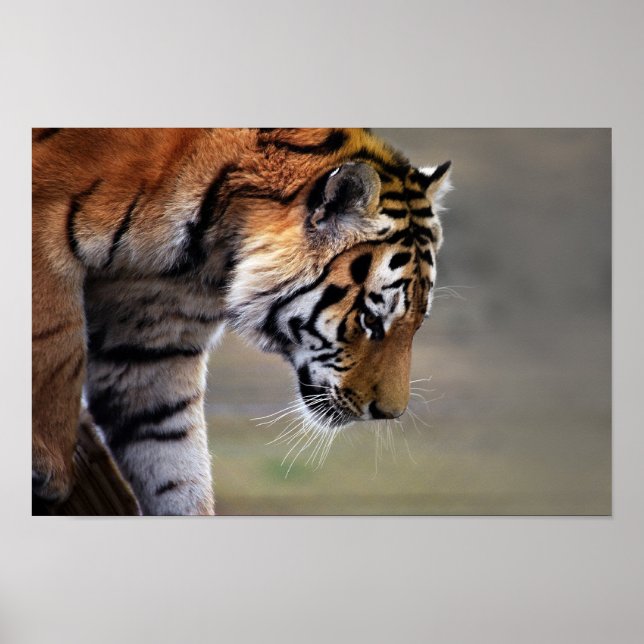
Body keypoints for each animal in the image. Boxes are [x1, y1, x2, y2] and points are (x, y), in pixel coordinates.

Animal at [32, 128, 452, 516]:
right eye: (370, 319)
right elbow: (56, 346)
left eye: (417, 324)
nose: (390, 414)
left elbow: (171, 450)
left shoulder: (151, 341)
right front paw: (51, 470)